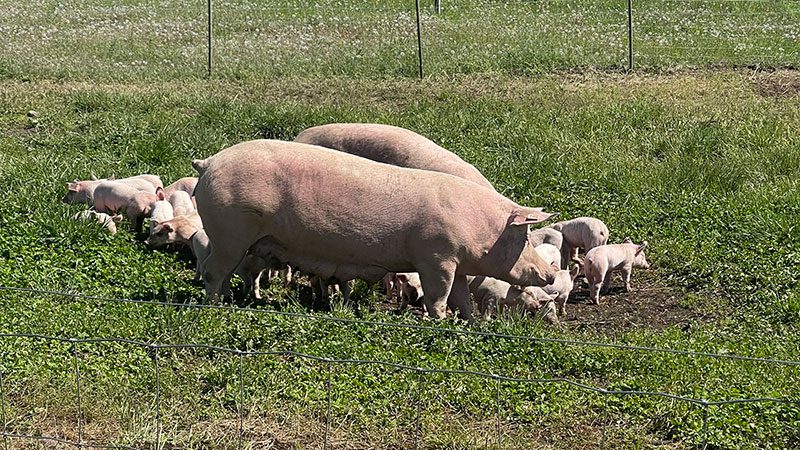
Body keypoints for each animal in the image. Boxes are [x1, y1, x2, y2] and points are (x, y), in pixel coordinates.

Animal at [192, 139, 558, 320]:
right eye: (524, 238)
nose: (552, 274)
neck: (476, 224)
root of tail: (208, 163)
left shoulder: (455, 262)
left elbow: (462, 296)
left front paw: (471, 324)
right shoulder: (435, 257)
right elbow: (439, 295)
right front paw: (440, 322)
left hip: (231, 237)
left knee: (220, 270)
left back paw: (227, 300)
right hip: (231, 230)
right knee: (212, 270)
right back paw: (216, 307)